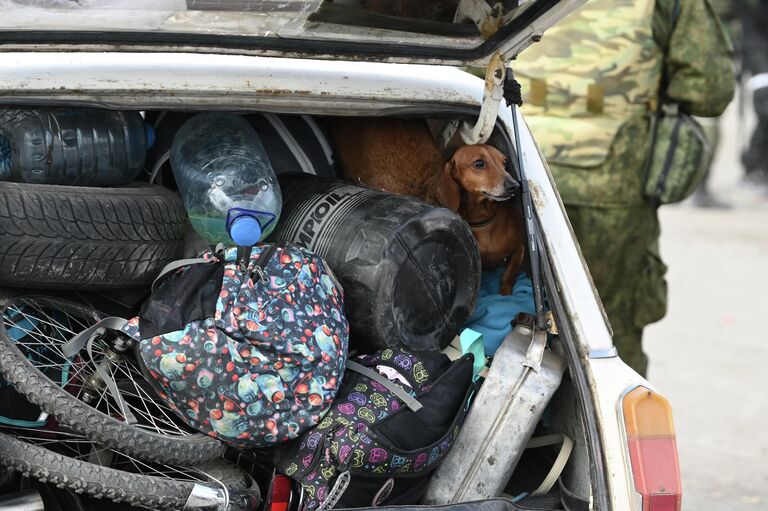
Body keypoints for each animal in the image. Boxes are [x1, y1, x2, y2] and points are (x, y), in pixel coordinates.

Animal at [328, 117, 524, 294]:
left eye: (504, 162)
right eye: (479, 163)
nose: (514, 186)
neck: (483, 223)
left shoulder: (519, 250)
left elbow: (509, 275)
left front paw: (505, 294)